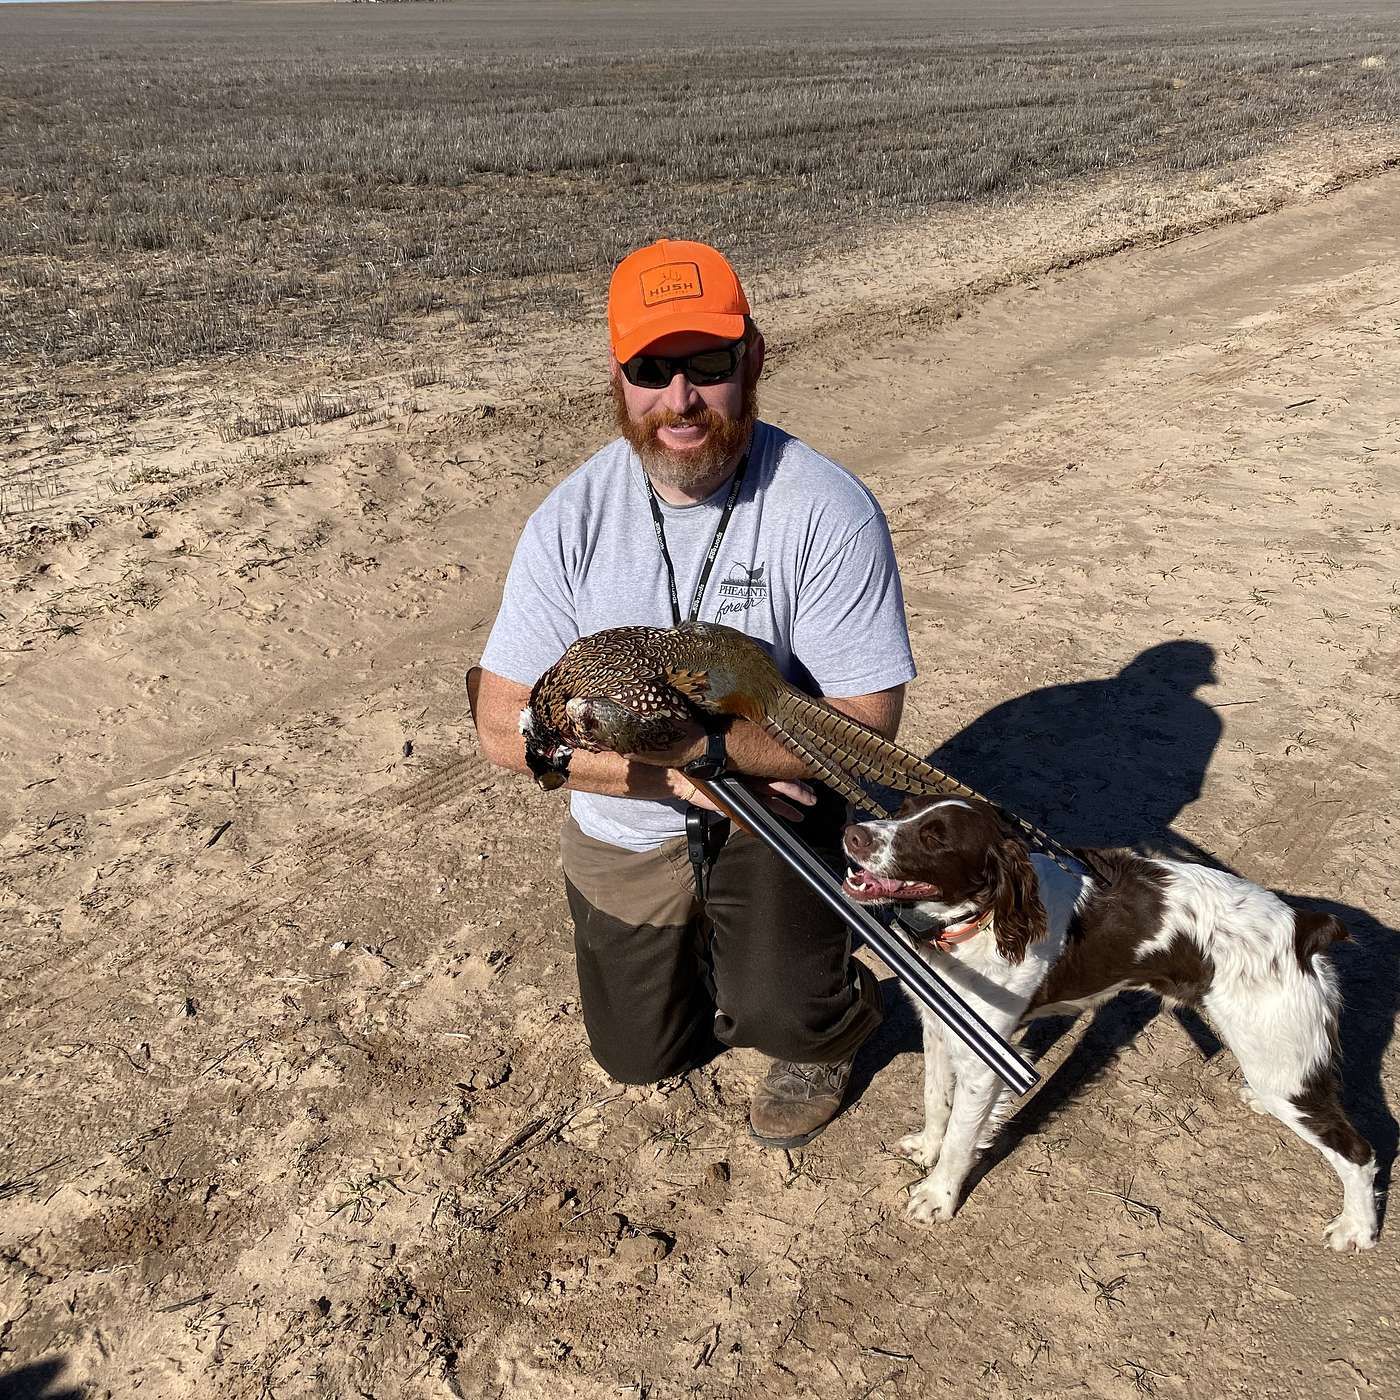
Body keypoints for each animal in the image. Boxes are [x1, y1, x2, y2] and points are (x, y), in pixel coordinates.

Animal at [840, 795, 1377, 1254]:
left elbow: (959, 1136)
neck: (983, 920)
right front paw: (926, 1148)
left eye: (935, 837)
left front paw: (938, 1197)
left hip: (1278, 1059)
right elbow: (937, 1101)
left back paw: (1357, 1228)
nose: (852, 834)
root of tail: (1304, 927)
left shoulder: (985, 1056)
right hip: (1279, 1066)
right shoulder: (939, 1023)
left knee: (1358, 1150)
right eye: (902, 810)